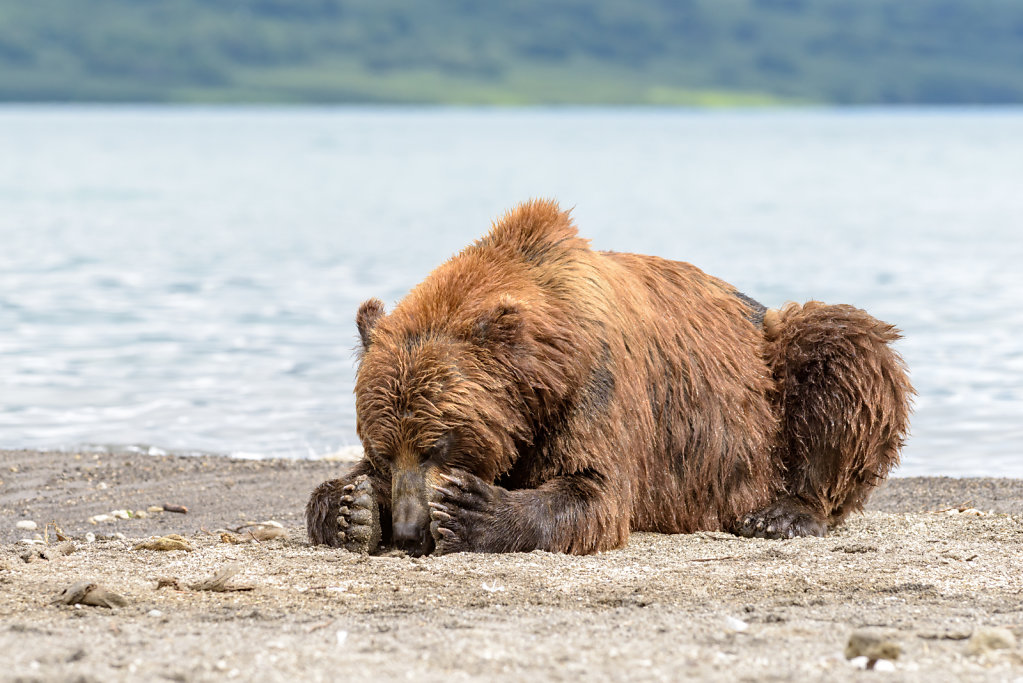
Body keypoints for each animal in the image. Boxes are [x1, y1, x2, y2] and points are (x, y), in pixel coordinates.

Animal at [302, 197, 912, 556]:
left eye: (439, 445)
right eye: (382, 451)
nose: (408, 533)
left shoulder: (596, 385)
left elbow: (593, 490)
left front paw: (473, 510)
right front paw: (352, 509)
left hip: (774, 375)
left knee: (841, 348)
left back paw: (783, 514)